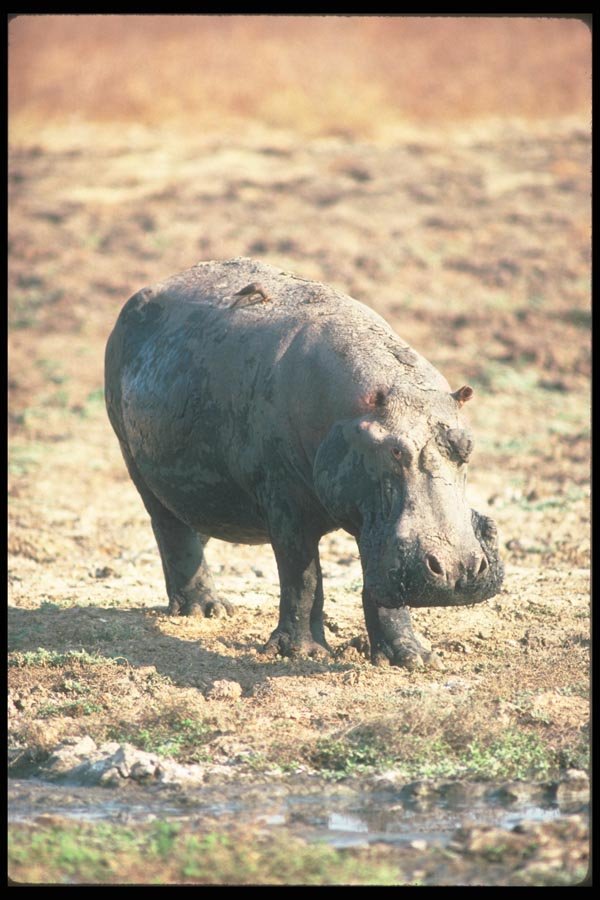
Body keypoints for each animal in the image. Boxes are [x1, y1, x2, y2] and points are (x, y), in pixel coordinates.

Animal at [105, 257, 503, 669]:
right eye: (394, 450)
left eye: (467, 445)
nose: (458, 571)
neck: (357, 410)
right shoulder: (286, 503)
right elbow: (303, 575)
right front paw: (299, 653)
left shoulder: (374, 522)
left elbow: (381, 585)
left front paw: (413, 659)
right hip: (132, 455)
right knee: (169, 527)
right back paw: (203, 611)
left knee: (192, 522)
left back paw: (215, 609)